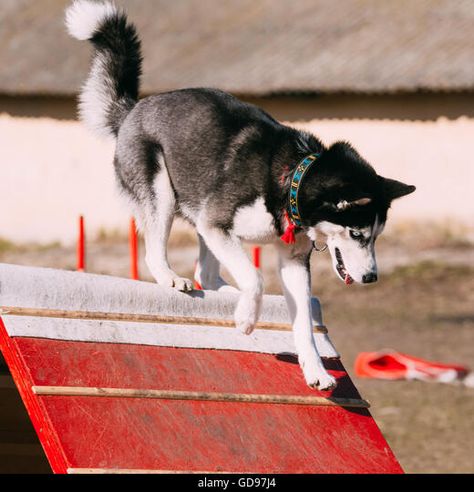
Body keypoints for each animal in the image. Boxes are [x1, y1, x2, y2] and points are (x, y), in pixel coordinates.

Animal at [65, 0, 414, 392]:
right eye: (357, 234)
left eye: (376, 237)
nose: (371, 278)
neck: (292, 178)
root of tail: (132, 110)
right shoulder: (217, 224)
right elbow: (256, 278)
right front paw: (247, 318)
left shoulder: (292, 260)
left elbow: (304, 325)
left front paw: (316, 371)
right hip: (164, 194)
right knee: (158, 252)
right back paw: (174, 277)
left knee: (207, 271)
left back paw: (226, 292)